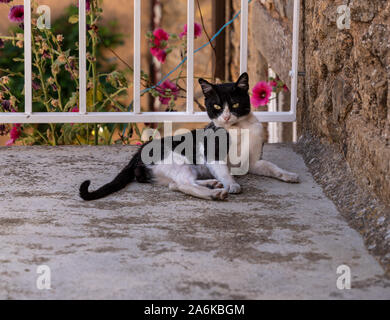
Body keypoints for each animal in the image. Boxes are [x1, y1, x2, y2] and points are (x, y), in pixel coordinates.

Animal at [79, 74, 298, 201]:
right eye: (216, 106)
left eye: (235, 104)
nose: (226, 117)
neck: (238, 128)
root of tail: (137, 154)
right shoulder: (213, 156)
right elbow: (225, 172)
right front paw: (232, 184)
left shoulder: (252, 162)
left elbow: (272, 167)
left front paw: (289, 175)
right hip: (178, 161)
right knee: (182, 185)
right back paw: (214, 193)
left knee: (176, 184)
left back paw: (211, 184)